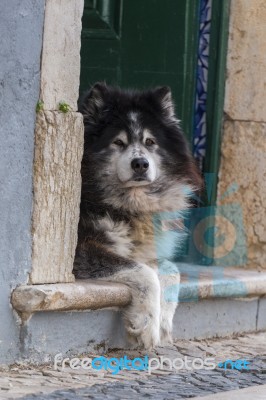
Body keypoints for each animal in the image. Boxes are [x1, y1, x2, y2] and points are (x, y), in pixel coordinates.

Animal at [72, 83, 202, 348]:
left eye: (150, 141)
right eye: (118, 142)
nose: (140, 164)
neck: (129, 205)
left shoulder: (146, 250)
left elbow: (172, 269)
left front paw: (163, 322)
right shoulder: (82, 249)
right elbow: (145, 273)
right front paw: (146, 325)